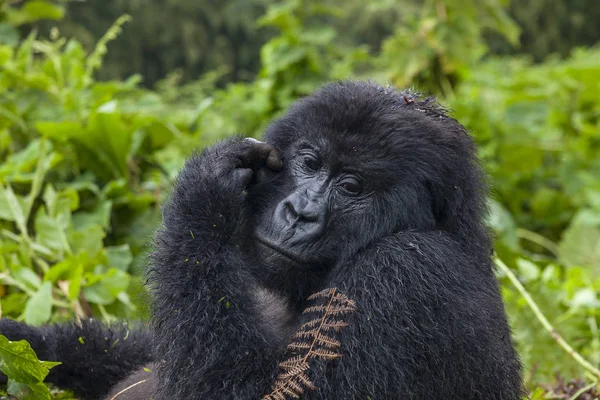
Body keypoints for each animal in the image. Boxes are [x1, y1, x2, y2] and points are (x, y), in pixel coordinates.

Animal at [0, 81, 520, 400]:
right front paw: (23, 343)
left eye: (352, 187)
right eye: (309, 162)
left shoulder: (407, 273)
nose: (299, 213)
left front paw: (203, 197)